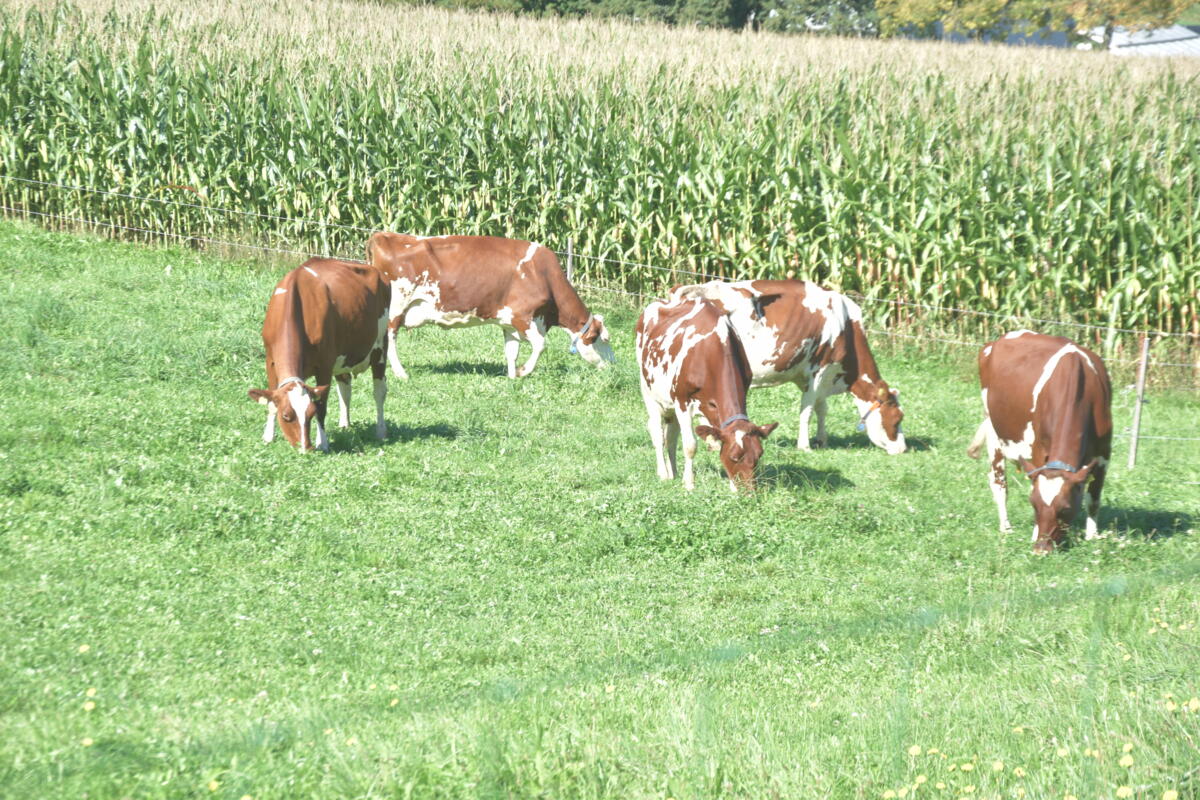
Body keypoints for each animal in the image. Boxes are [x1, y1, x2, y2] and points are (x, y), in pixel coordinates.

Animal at [248, 258, 391, 452]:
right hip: (343, 358)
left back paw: (381, 431)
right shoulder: (270, 361)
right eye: (286, 416)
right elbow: (270, 401)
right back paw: (345, 424)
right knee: (345, 387)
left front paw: (322, 443)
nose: (305, 448)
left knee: (379, 391)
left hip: (380, 347)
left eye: (310, 414)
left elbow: (322, 405)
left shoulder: (325, 365)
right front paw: (268, 437)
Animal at [366, 233, 615, 379]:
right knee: (390, 338)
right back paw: (401, 373)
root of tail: (384, 235)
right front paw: (524, 371)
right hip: (396, 307)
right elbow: (540, 345)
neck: (542, 274)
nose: (615, 367)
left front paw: (512, 377)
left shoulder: (509, 322)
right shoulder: (523, 316)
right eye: (603, 339)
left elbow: (511, 352)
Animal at [636, 296, 778, 491]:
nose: (749, 493)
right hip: (648, 391)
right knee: (657, 433)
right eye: (734, 457)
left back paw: (674, 473)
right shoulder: (682, 401)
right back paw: (664, 474)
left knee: (670, 436)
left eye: (759, 455)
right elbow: (690, 445)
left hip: (670, 403)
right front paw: (689, 483)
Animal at [670, 280, 906, 455]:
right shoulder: (819, 370)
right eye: (897, 419)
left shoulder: (812, 376)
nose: (903, 448)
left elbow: (821, 408)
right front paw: (805, 446)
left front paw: (822, 440)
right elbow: (807, 411)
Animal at [967, 330, 1112, 553]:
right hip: (993, 430)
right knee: (999, 483)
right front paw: (1034, 533)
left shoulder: (1104, 453)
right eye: (1034, 505)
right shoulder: (1038, 449)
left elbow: (1094, 499)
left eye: (1065, 509)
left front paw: (1092, 537)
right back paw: (1006, 527)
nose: (1041, 550)